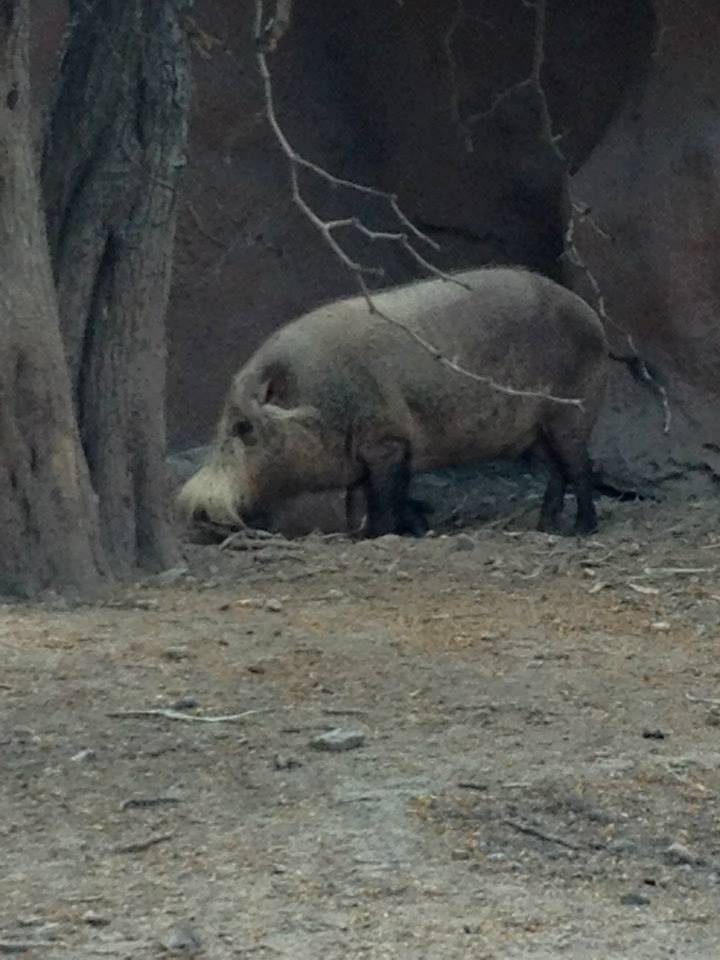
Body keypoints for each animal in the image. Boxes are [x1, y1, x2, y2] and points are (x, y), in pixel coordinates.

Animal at [177, 267, 609, 537]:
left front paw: (383, 534)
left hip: (572, 411)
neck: (322, 398)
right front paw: (365, 533)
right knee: (557, 469)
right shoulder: (363, 456)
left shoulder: (388, 442)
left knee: (580, 466)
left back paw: (582, 529)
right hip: (538, 430)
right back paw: (545, 527)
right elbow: (360, 499)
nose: (197, 512)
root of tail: (593, 317)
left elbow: (385, 496)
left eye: (244, 427)